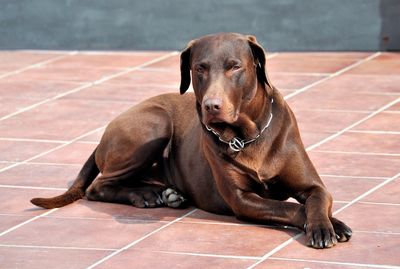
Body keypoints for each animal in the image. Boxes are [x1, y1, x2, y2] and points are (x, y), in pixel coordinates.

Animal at [31, 33, 350, 247]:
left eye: (235, 66)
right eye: (200, 68)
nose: (212, 105)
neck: (247, 137)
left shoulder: (313, 185)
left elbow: (317, 200)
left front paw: (328, 225)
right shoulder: (242, 200)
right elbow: (291, 208)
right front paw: (322, 227)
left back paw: (163, 193)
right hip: (156, 123)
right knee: (98, 187)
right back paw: (146, 196)